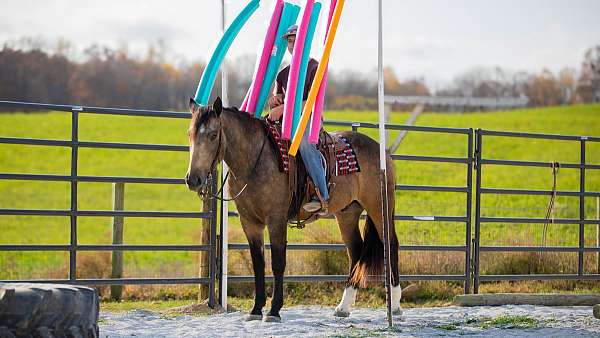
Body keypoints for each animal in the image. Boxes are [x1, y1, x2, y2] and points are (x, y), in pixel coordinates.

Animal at [183, 97, 398, 322]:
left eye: (213, 135)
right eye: (190, 134)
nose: (193, 179)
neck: (255, 160)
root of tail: (381, 151)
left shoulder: (276, 219)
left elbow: (278, 262)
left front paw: (274, 310)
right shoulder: (249, 222)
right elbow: (258, 264)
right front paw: (256, 309)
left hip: (379, 206)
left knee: (391, 245)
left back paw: (395, 305)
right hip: (347, 213)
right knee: (356, 251)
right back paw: (343, 307)